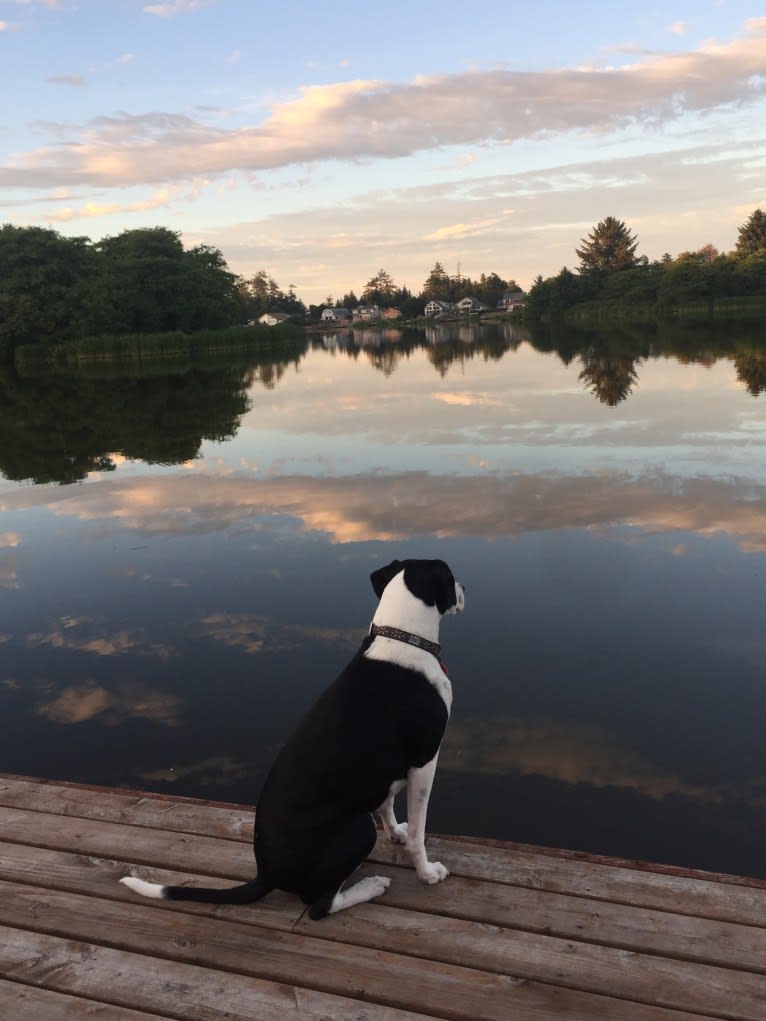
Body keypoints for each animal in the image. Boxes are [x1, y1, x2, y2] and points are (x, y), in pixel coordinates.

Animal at [123, 559, 465, 918]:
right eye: (451, 577)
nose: (465, 588)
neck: (402, 639)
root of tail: (267, 873)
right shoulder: (424, 760)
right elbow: (418, 832)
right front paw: (427, 873)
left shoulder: (388, 769)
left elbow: (386, 804)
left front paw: (396, 832)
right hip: (358, 828)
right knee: (319, 905)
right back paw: (371, 886)